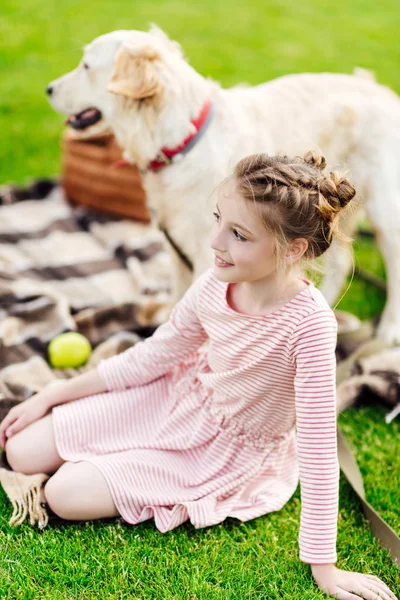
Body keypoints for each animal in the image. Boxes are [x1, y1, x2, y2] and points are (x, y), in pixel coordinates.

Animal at [47, 27, 400, 342]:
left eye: (86, 66)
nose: (48, 88)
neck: (182, 143)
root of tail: (381, 89)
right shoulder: (176, 250)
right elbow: (177, 304)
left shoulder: (211, 253)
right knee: (341, 263)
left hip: (385, 215)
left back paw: (387, 332)